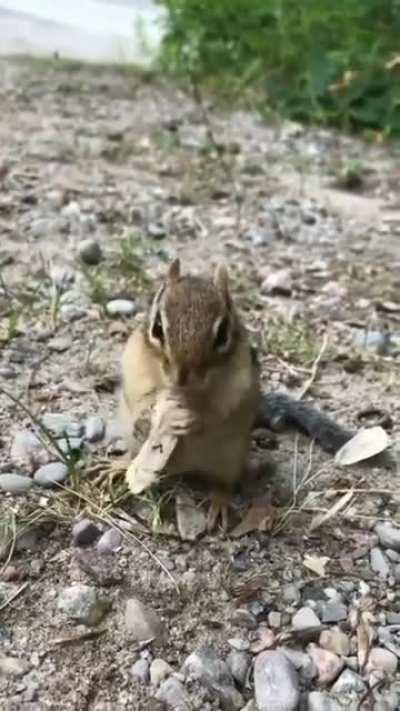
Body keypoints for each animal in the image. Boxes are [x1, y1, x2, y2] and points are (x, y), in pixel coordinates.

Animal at [118, 259, 354, 530]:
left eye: (222, 334)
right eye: (157, 327)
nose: (181, 377)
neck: (186, 393)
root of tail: (185, 469)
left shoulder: (238, 384)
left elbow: (217, 411)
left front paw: (194, 419)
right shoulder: (135, 368)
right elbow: (141, 401)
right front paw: (154, 417)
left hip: (230, 457)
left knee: (224, 483)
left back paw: (219, 505)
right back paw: (115, 465)